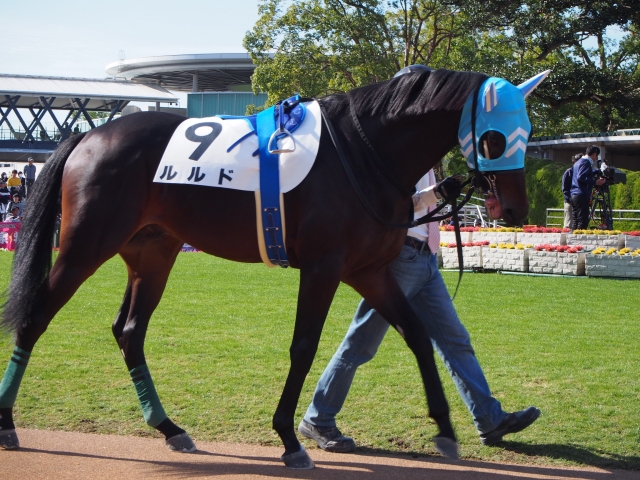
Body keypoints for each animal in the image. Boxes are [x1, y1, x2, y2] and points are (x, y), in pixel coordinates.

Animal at [0, 67, 546, 469]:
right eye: (496, 139)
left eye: (527, 134)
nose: (514, 209)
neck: (364, 153)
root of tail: (89, 135)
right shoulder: (325, 267)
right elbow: (303, 346)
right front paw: (289, 437)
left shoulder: (370, 270)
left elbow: (417, 335)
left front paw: (446, 428)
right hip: (83, 247)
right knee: (35, 318)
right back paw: (7, 422)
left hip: (153, 253)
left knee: (129, 331)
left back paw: (170, 428)